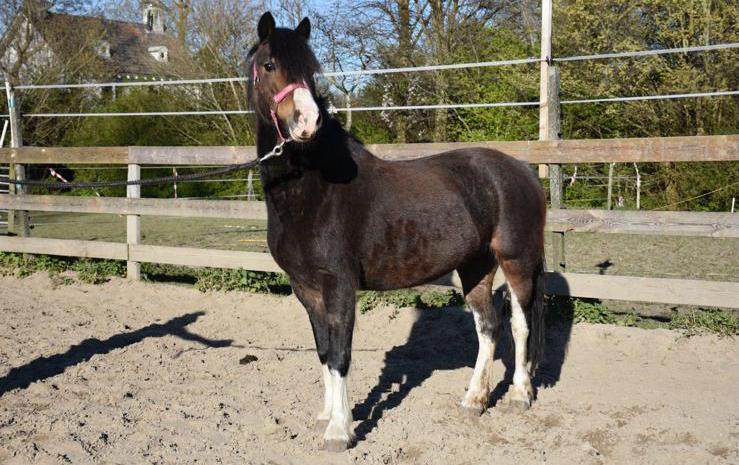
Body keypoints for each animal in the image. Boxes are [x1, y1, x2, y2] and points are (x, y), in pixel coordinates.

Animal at [247, 12, 547, 452]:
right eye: (269, 65)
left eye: (311, 70)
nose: (307, 121)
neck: (315, 189)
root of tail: (522, 172)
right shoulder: (306, 289)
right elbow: (324, 351)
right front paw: (327, 415)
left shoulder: (339, 286)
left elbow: (341, 354)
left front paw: (340, 431)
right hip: (476, 266)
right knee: (488, 328)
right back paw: (474, 400)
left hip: (517, 260)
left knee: (520, 325)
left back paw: (521, 395)